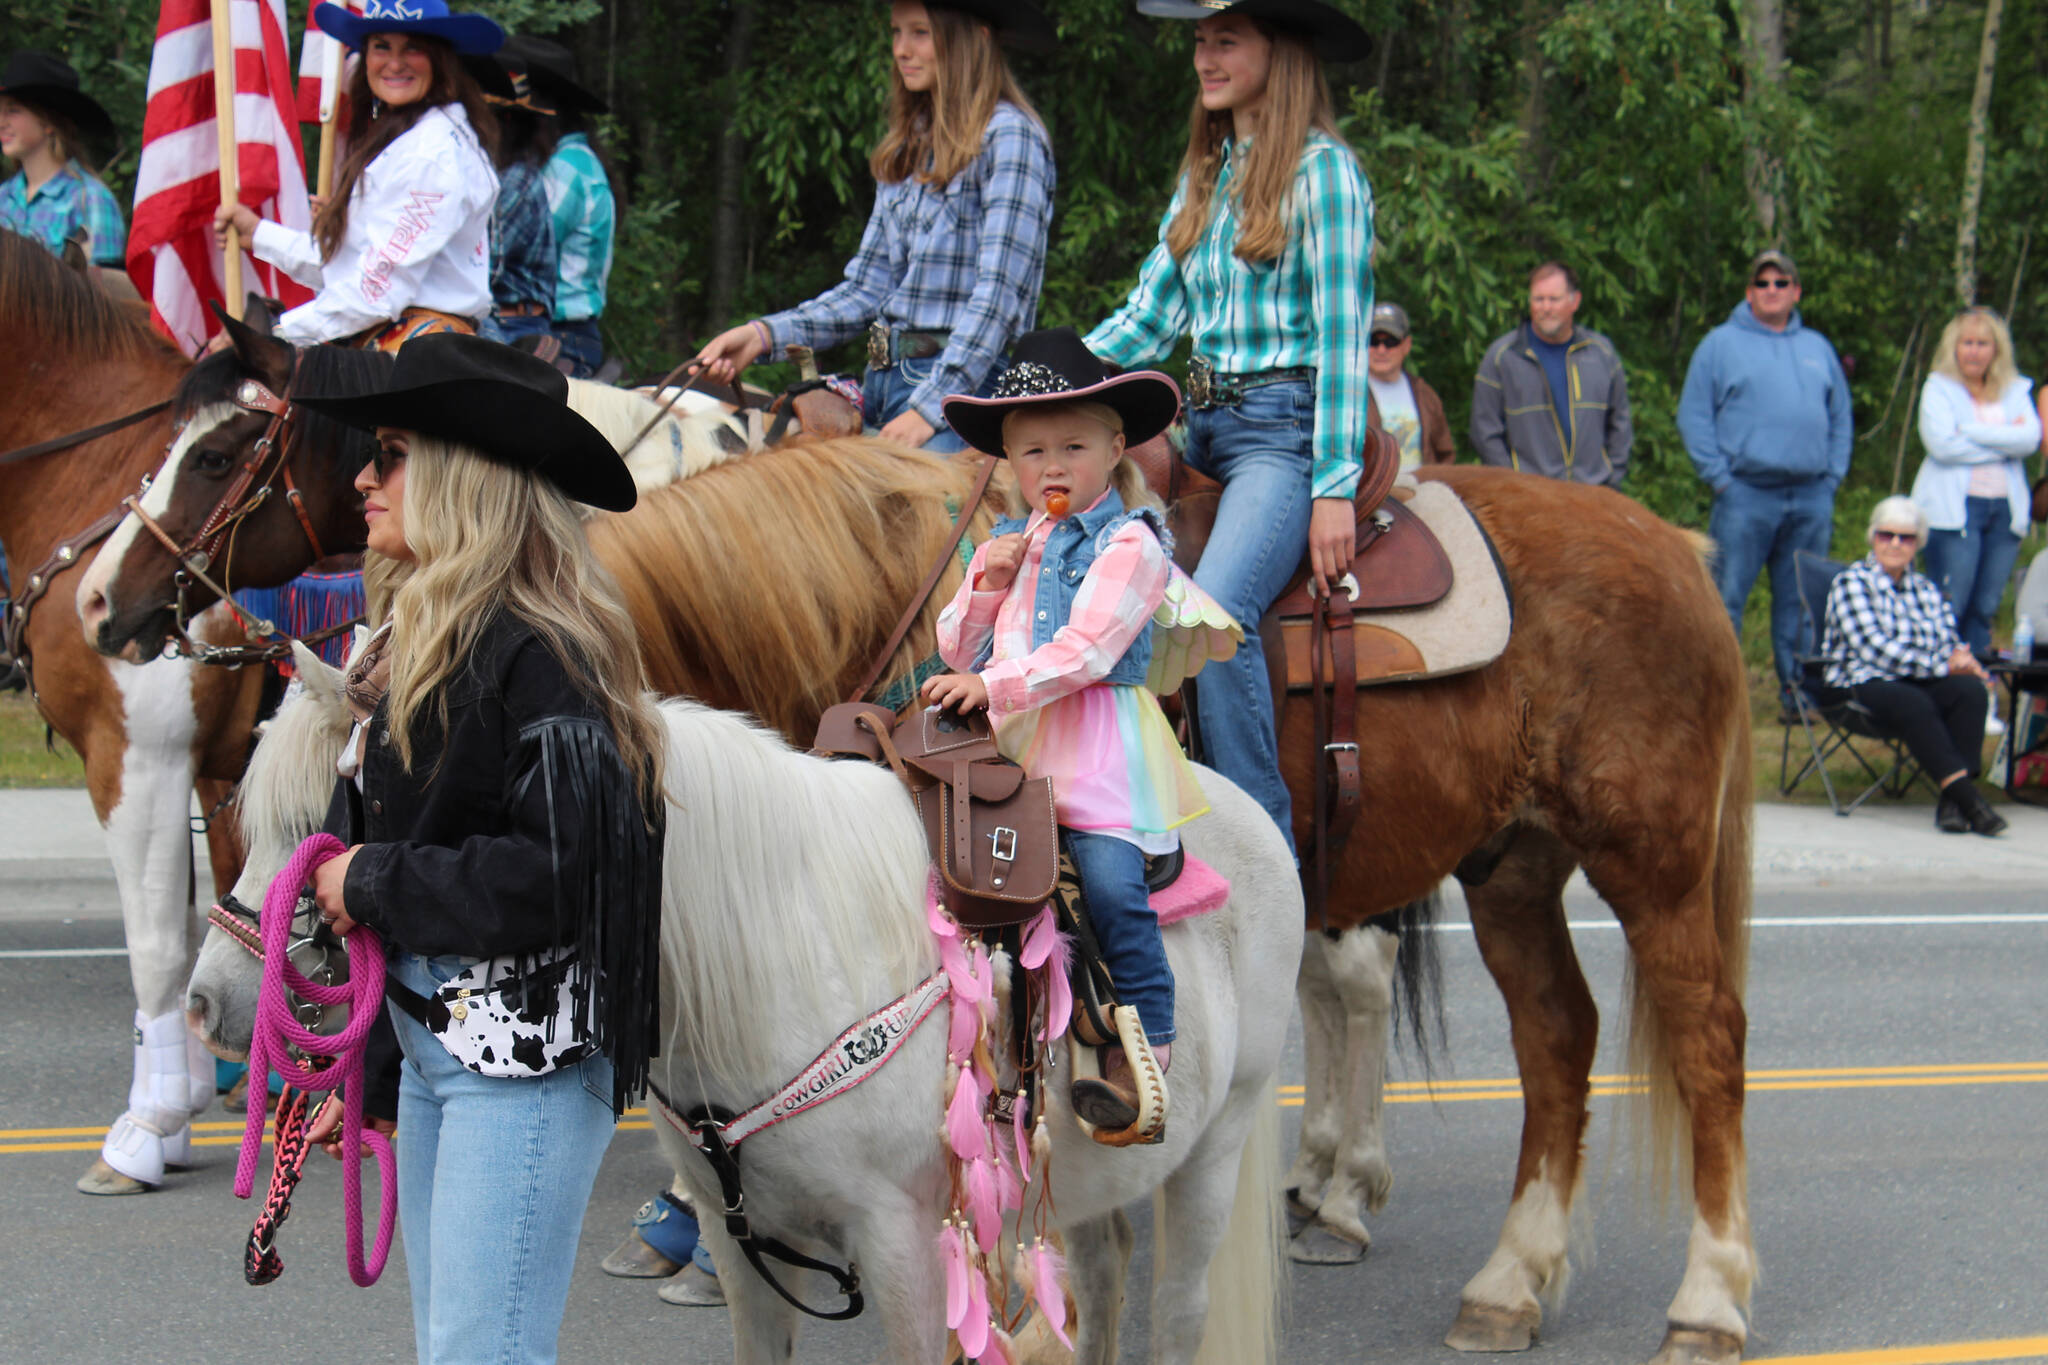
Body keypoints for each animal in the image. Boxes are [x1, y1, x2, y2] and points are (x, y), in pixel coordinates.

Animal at [0, 235, 270, 1195]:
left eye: (219, 460)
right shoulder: (204, 767)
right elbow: (200, 923)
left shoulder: (134, 755)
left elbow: (155, 943)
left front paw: (146, 1130)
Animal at [199, 642, 1302, 1365]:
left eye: (338, 810)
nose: (210, 1004)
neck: (776, 946)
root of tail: (1244, 807)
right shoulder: (747, 1249)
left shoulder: (906, 1247)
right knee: (1104, 1275)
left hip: (1215, 1145)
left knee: (1182, 1307)